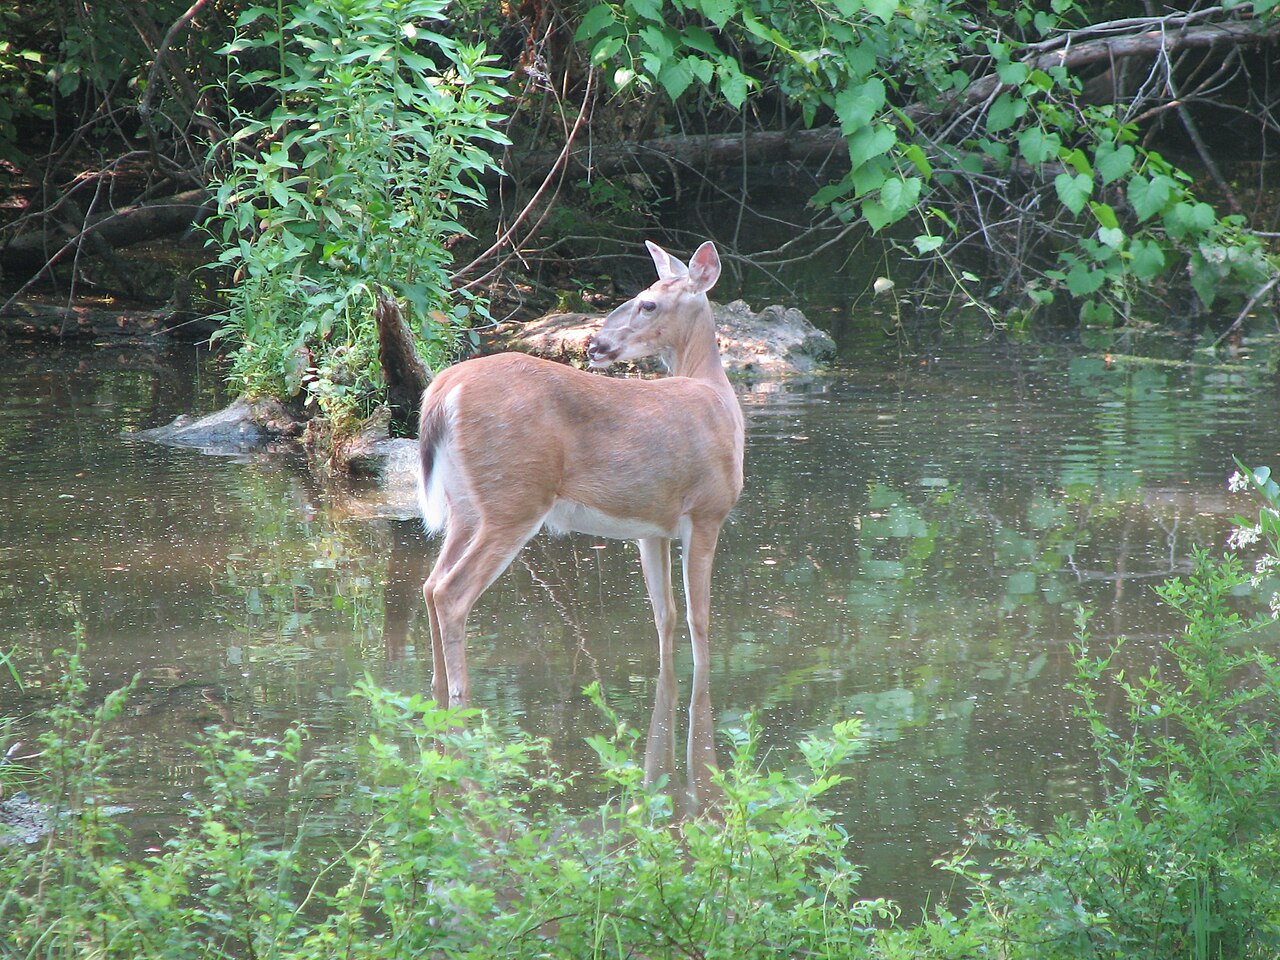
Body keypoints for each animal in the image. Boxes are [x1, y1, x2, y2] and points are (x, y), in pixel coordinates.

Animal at [417, 240, 744, 705]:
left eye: (648, 303)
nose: (596, 345)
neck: (717, 394)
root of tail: (443, 392)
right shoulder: (707, 510)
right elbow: (699, 617)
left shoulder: (652, 528)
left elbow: (664, 614)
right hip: (515, 497)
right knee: (451, 592)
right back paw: (463, 695)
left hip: (464, 504)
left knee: (430, 584)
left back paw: (438, 687)